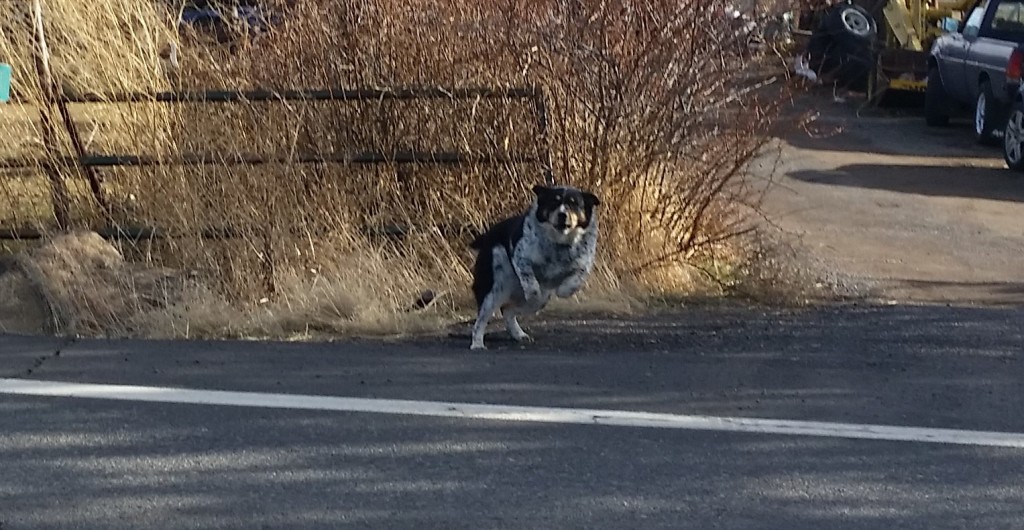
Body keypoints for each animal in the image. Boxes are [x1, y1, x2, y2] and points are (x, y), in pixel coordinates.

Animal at [468, 185, 602, 351]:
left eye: (574, 203)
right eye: (553, 202)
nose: (562, 215)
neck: (559, 243)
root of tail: (487, 236)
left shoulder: (584, 264)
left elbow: (576, 279)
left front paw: (563, 290)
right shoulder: (521, 257)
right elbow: (530, 283)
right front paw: (533, 291)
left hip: (539, 301)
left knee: (508, 310)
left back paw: (518, 334)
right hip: (493, 288)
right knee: (482, 319)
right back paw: (477, 344)